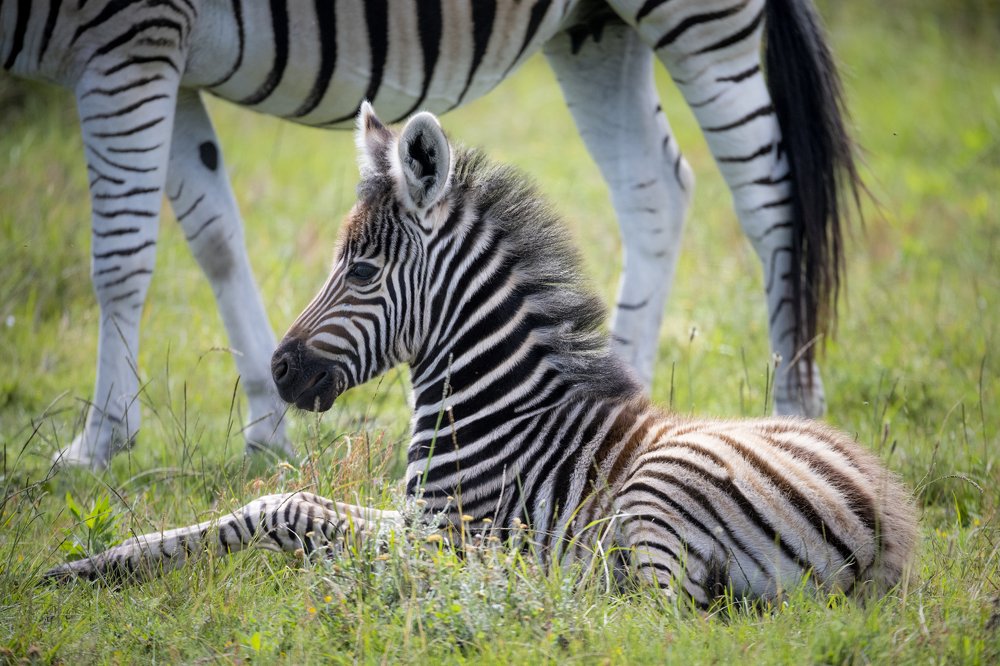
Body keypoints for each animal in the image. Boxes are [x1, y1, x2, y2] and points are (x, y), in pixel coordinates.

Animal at [1, 0, 860, 469]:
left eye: (364, 273)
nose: (282, 369)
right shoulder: (168, 64)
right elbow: (215, 236)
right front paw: (265, 432)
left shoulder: (132, 39)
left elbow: (119, 254)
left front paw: (98, 442)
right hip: (596, 27)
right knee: (657, 188)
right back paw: (625, 392)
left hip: (698, 16)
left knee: (772, 199)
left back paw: (795, 406)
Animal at [44, 107, 915, 606]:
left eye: (362, 272)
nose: (280, 371)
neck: (500, 408)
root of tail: (893, 530)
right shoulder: (414, 515)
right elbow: (269, 504)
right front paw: (98, 565)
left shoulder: (445, 531)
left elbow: (298, 513)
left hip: (661, 489)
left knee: (644, 607)